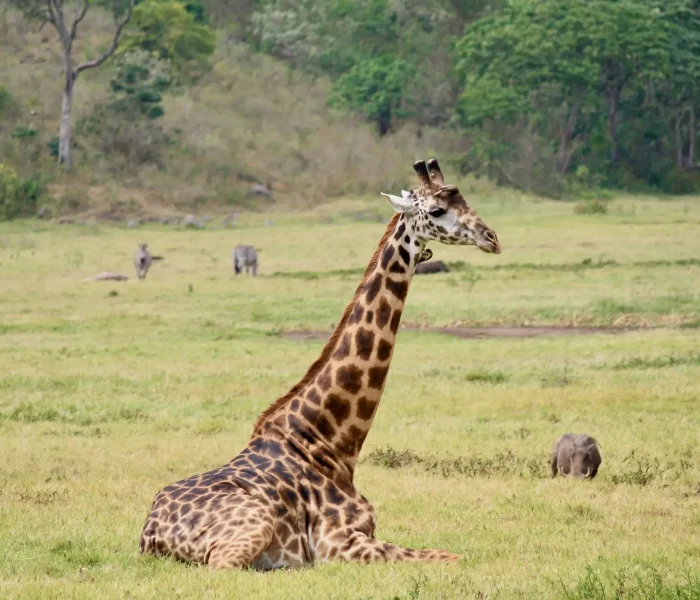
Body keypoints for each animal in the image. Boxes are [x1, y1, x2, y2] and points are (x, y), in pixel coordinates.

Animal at [139, 158, 501, 569]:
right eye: (438, 210)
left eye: (464, 199)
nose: (491, 238)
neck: (332, 443)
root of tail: (150, 532)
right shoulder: (338, 543)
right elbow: (452, 556)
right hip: (251, 528)